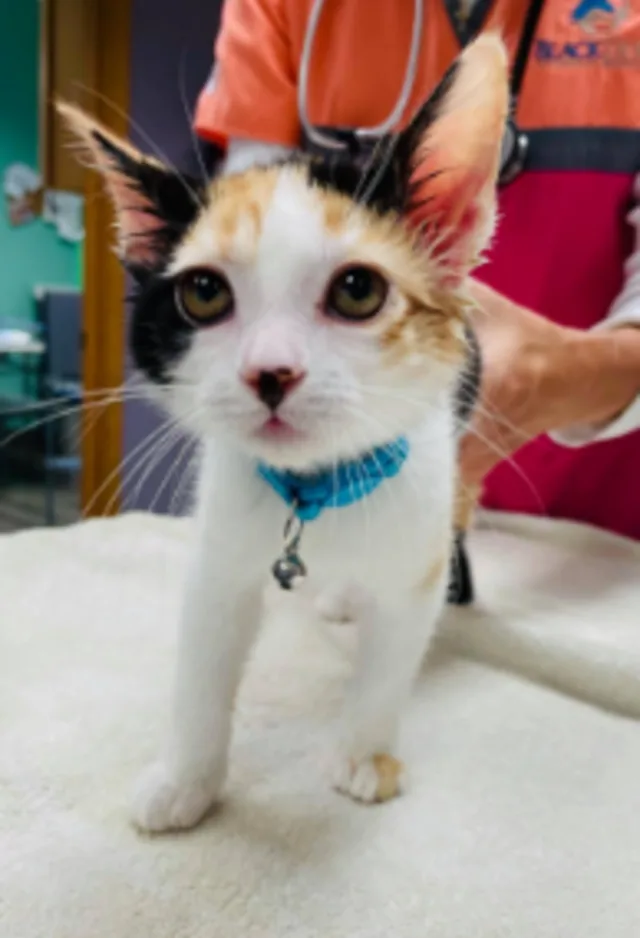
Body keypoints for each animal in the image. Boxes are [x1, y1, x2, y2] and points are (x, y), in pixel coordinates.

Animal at [61, 33, 510, 828]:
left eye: (358, 290)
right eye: (204, 293)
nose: (270, 371)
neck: (316, 489)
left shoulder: (419, 538)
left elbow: (392, 652)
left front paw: (363, 754)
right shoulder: (217, 554)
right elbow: (202, 665)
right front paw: (185, 779)